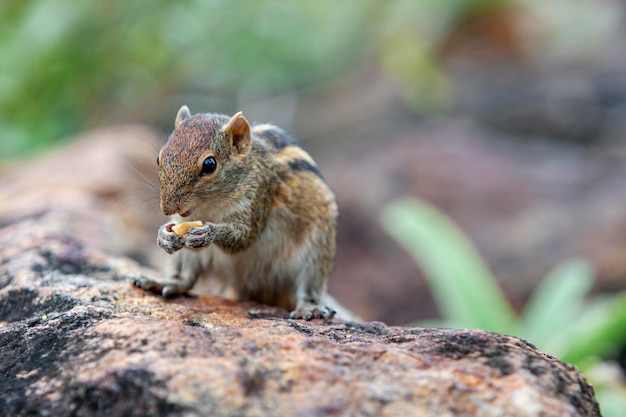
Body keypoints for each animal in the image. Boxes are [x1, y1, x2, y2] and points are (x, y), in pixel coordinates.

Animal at [130, 105, 336, 320]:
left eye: (210, 164)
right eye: (159, 158)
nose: (168, 208)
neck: (211, 205)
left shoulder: (258, 197)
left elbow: (243, 237)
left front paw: (209, 233)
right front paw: (164, 236)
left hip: (315, 252)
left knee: (309, 287)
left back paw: (310, 307)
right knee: (185, 280)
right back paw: (161, 282)